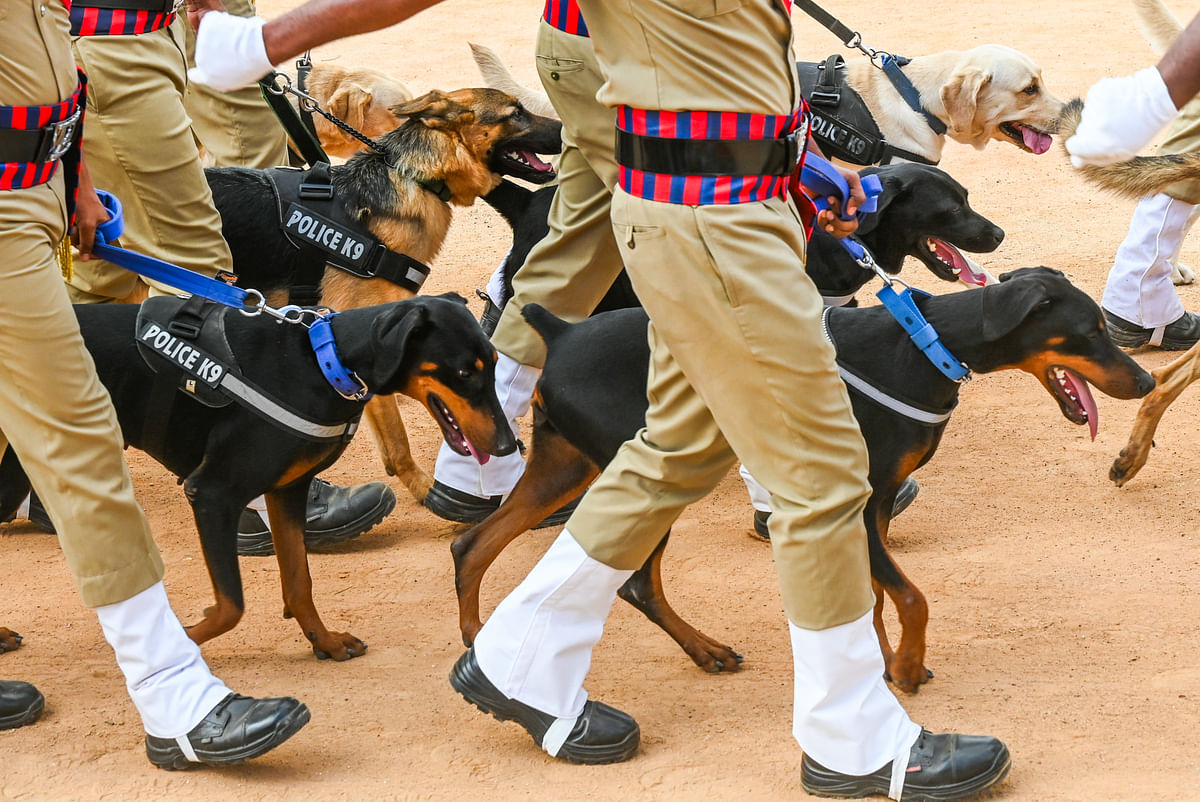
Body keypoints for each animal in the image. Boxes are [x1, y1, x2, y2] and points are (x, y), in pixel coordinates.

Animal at [0, 292, 516, 657]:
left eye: (493, 365)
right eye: (463, 373)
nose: (510, 446)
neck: (322, 363)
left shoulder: (288, 491)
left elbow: (299, 581)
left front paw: (324, 641)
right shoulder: (212, 493)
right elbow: (231, 605)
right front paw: (184, 640)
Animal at [451, 267, 1152, 691]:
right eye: (1089, 332)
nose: (1147, 381)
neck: (926, 346)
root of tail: (560, 332)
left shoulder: (875, 506)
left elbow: (875, 595)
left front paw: (879, 661)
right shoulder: (857, 501)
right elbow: (911, 597)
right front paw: (906, 667)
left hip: (564, 465)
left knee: (473, 544)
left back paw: (480, 649)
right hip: (642, 472)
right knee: (635, 585)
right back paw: (703, 650)